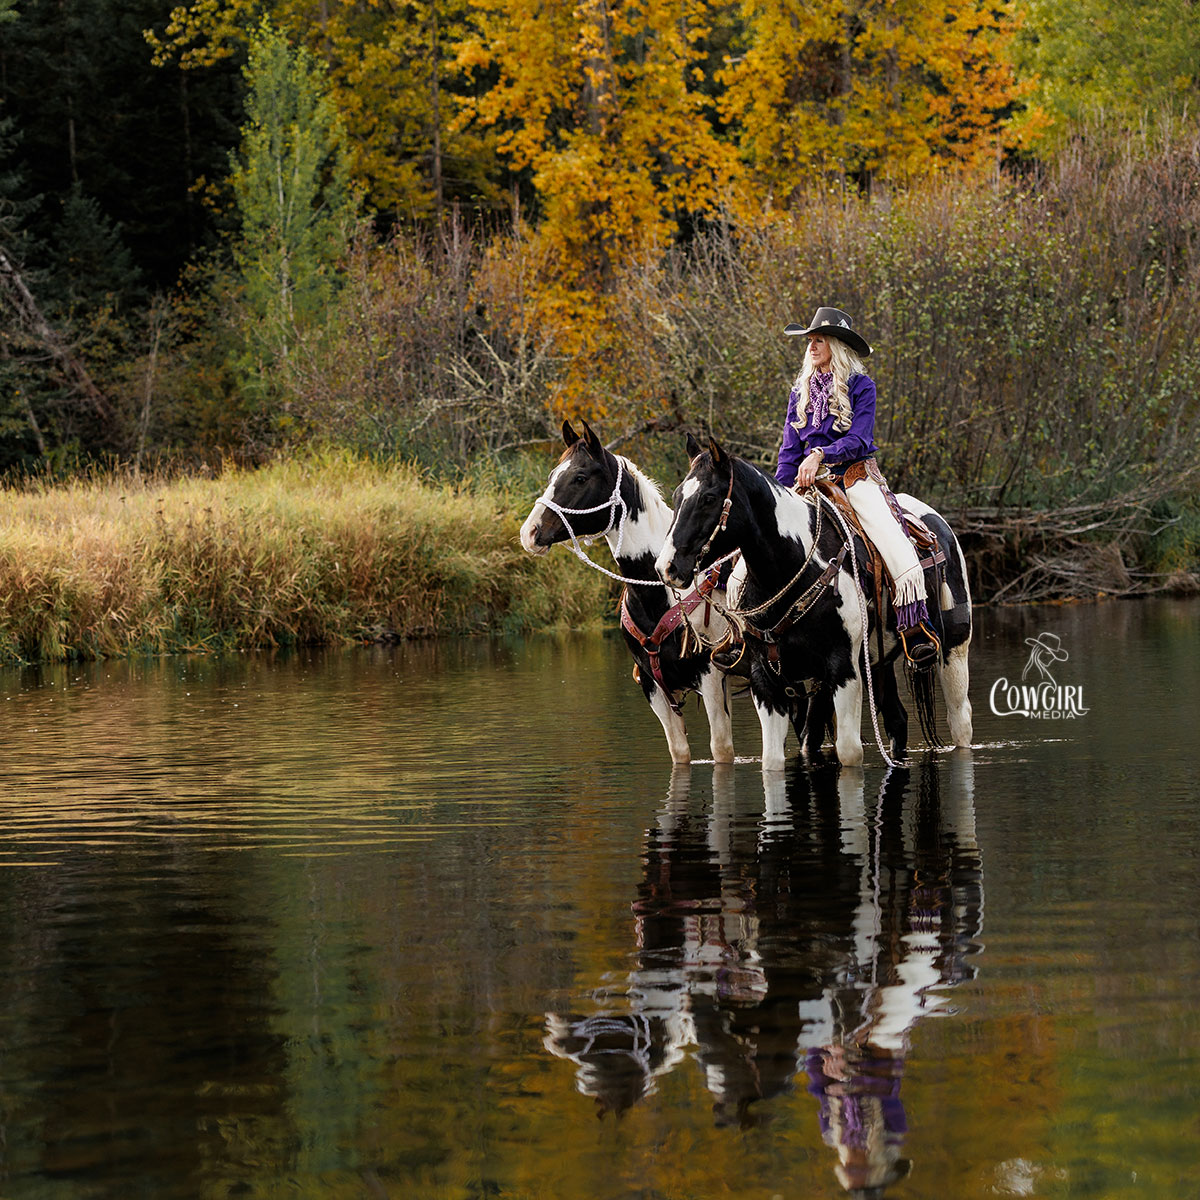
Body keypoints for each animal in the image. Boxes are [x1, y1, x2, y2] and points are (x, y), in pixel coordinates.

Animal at [519, 421, 735, 765]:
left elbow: (722, 750)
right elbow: (679, 751)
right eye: (553, 475)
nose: (530, 533)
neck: (661, 592)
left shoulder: (713, 679)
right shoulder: (653, 687)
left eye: (580, 477)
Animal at [656, 436, 973, 769]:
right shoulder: (766, 680)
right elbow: (773, 759)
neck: (791, 568)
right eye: (677, 496)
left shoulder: (843, 669)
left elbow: (850, 752)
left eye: (709, 497)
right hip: (877, 664)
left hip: (954, 650)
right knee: (893, 721)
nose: (666, 567)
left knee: (960, 720)